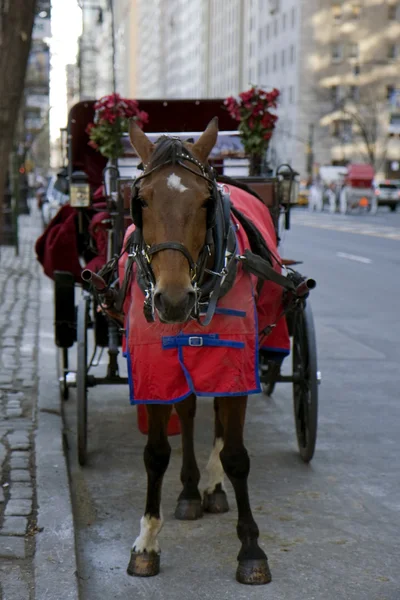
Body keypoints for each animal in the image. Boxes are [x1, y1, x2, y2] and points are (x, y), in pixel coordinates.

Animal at [125, 118, 272, 584]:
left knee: (218, 421)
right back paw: (190, 489)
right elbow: (156, 453)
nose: (173, 300)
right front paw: (147, 541)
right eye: (141, 200)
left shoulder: (235, 364)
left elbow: (237, 454)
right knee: (188, 411)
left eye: (207, 202)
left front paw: (251, 548)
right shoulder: (154, 367)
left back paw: (211, 485)